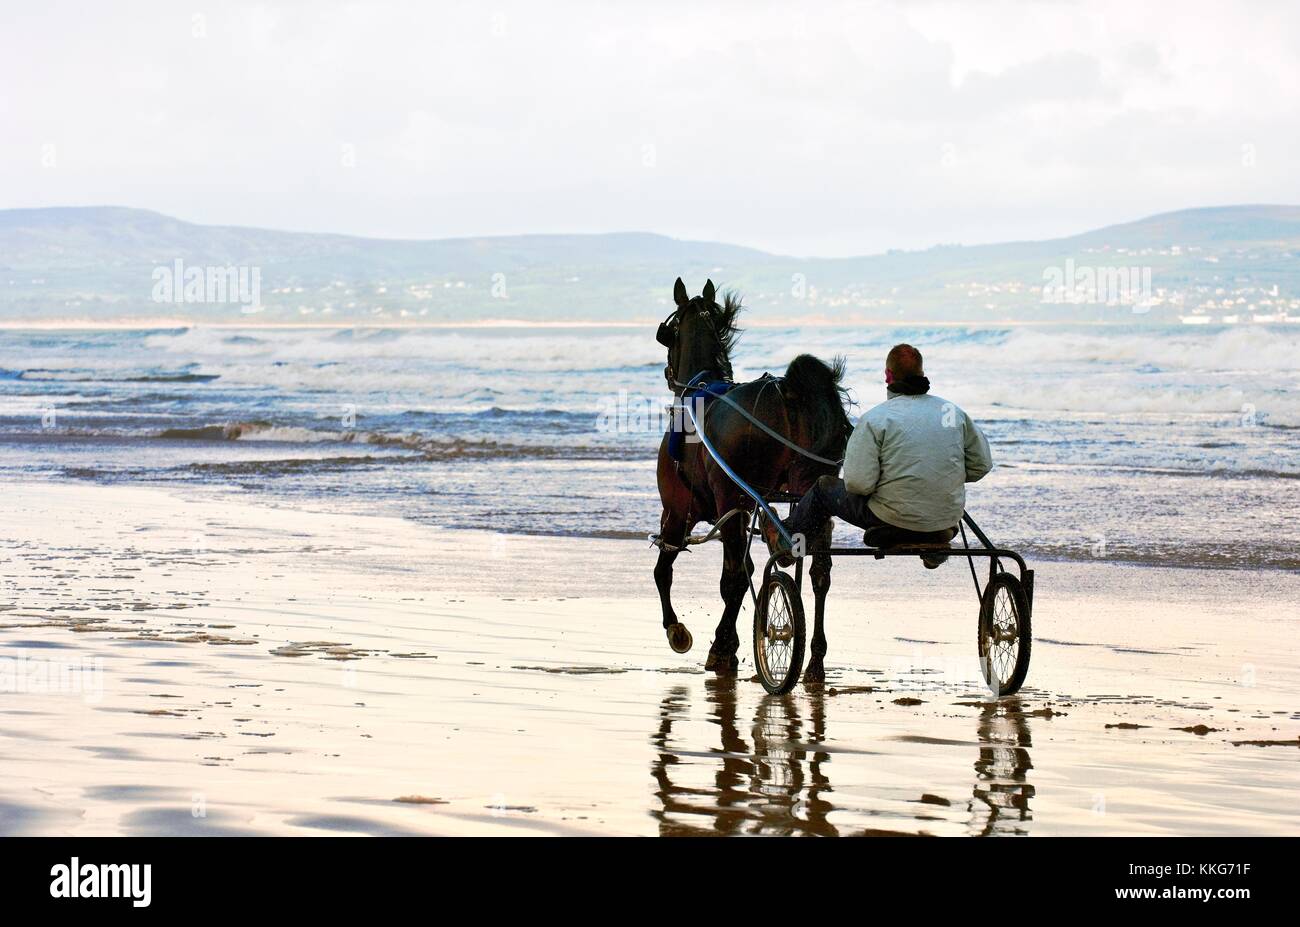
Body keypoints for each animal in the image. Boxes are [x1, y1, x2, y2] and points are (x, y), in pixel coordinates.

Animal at [650, 274, 852, 681]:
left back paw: (722, 646)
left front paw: (680, 631)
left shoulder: (678, 511)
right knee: (819, 574)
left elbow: (665, 570)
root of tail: (787, 393)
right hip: (811, 491)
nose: (668, 375)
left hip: (731, 501)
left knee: (736, 577)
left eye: (669, 332)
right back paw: (815, 660)